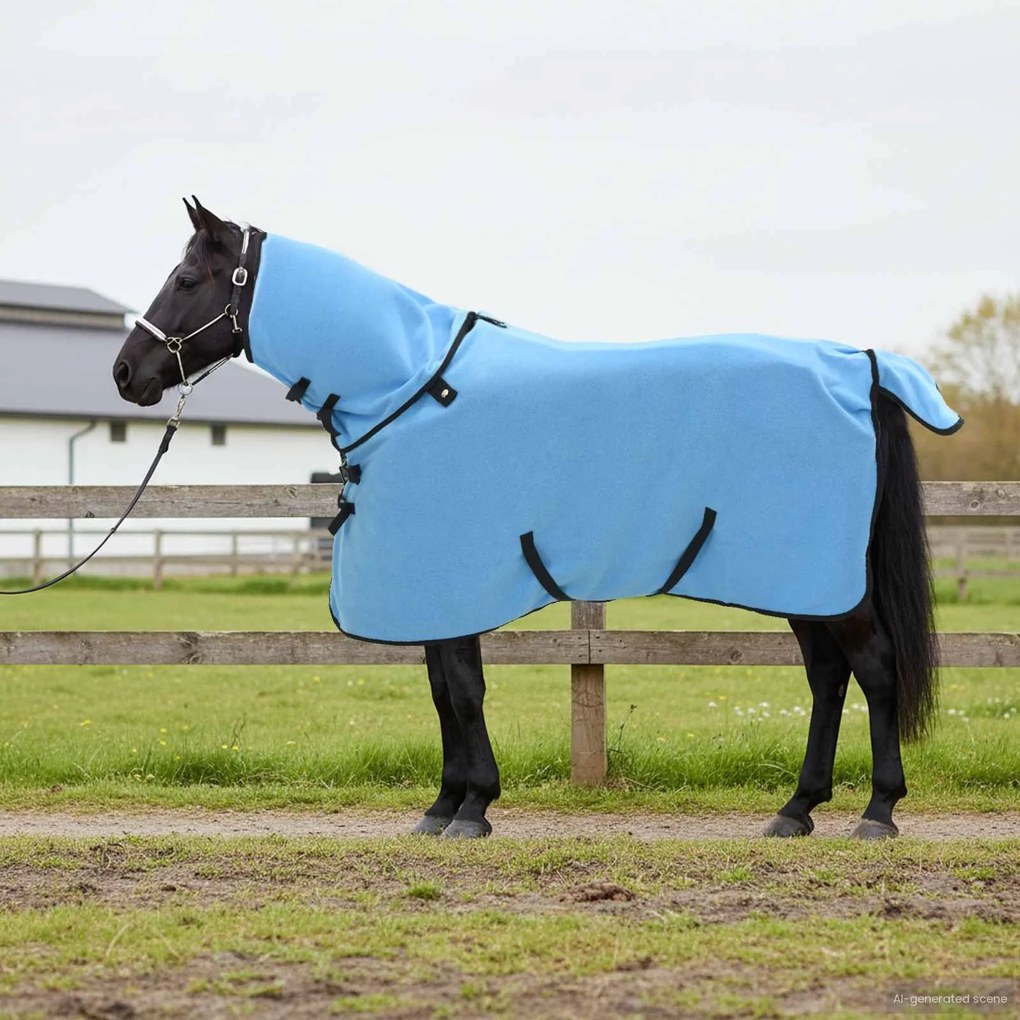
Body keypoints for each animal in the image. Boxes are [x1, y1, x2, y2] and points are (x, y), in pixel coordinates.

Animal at [113, 198, 960, 840]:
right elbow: (443, 691)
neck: (413, 385)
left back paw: (878, 812)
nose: (126, 373)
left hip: (826, 583)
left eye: (186, 277)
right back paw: (797, 809)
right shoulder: (435, 591)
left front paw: (473, 809)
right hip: (803, 582)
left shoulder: (453, 579)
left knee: (874, 670)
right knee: (828, 678)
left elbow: (462, 691)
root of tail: (860, 365)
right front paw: (444, 806)